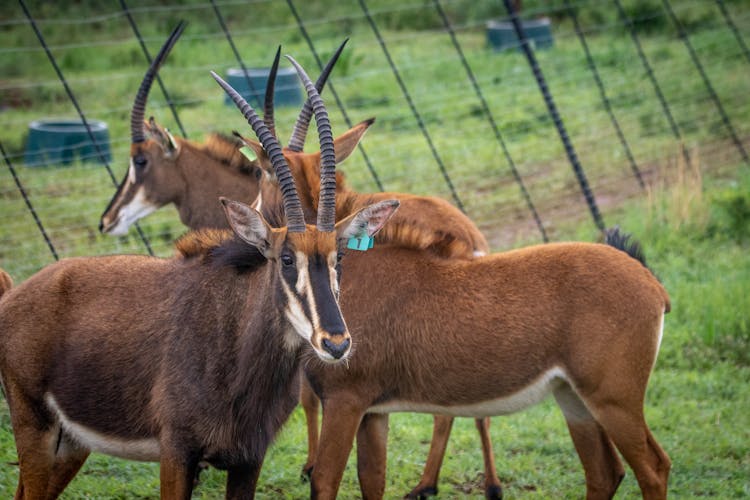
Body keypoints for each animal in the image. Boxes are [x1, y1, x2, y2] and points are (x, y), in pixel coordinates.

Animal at [0, 54, 400, 500]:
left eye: (340, 256)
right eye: (285, 258)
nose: (336, 343)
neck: (235, 343)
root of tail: (15, 293)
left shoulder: (248, 459)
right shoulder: (177, 452)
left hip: (70, 444)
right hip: (34, 427)